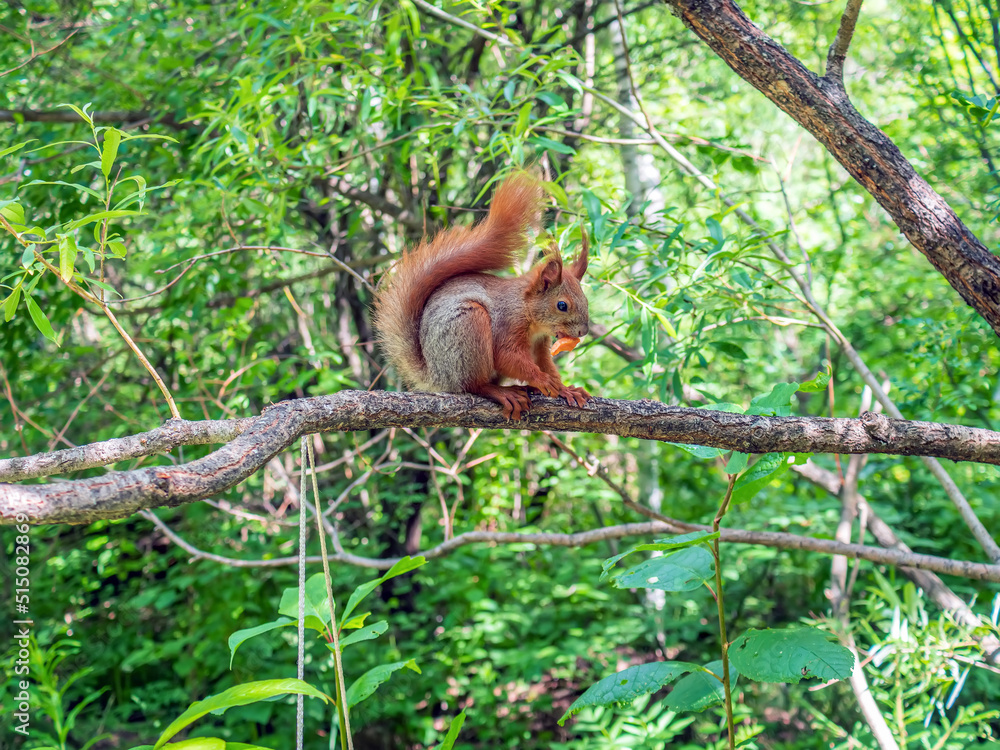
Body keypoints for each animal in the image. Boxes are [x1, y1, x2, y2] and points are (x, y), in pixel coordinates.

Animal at [376, 177, 592, 424]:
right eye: (562, 305)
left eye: (586, 300)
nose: (583, 331)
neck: (528, 311)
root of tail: (435, 375)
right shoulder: (507, 323)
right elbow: (507, 357)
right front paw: (543, 381)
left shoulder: (540, 344)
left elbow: (545, 364)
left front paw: (564, 388)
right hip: (470, 325)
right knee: (474, 385)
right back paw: (503, 392)